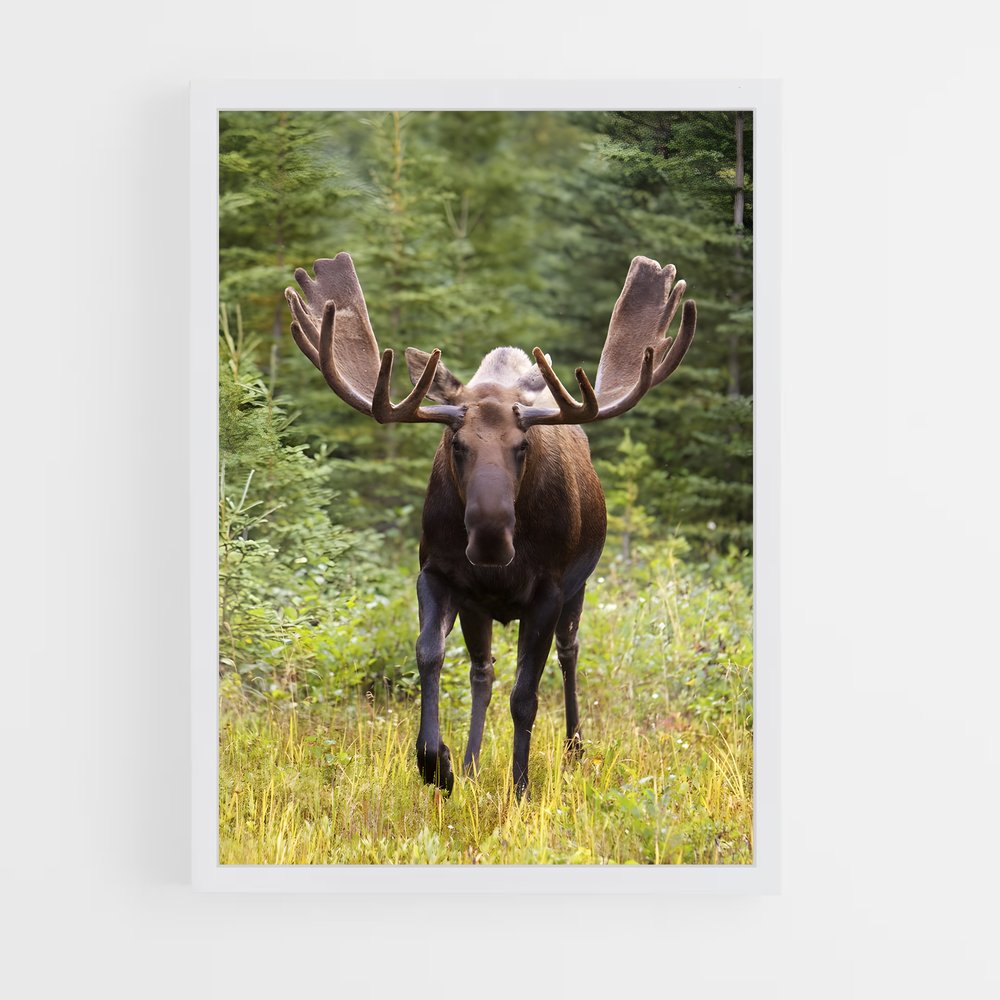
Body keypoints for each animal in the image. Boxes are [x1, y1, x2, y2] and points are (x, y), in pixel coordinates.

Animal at [285, 252, 696, 797]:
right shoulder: (437, 575)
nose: (490, 539)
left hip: (579, 587)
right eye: (456, 443)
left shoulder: (548, 591)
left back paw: (573, 748)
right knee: (483, 671)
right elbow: (429, 656)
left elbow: (526, 697)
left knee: (569, 653)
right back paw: (473, 761)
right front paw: (436, 762)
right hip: (478, 607)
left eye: (522, 445)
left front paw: (520, 788)